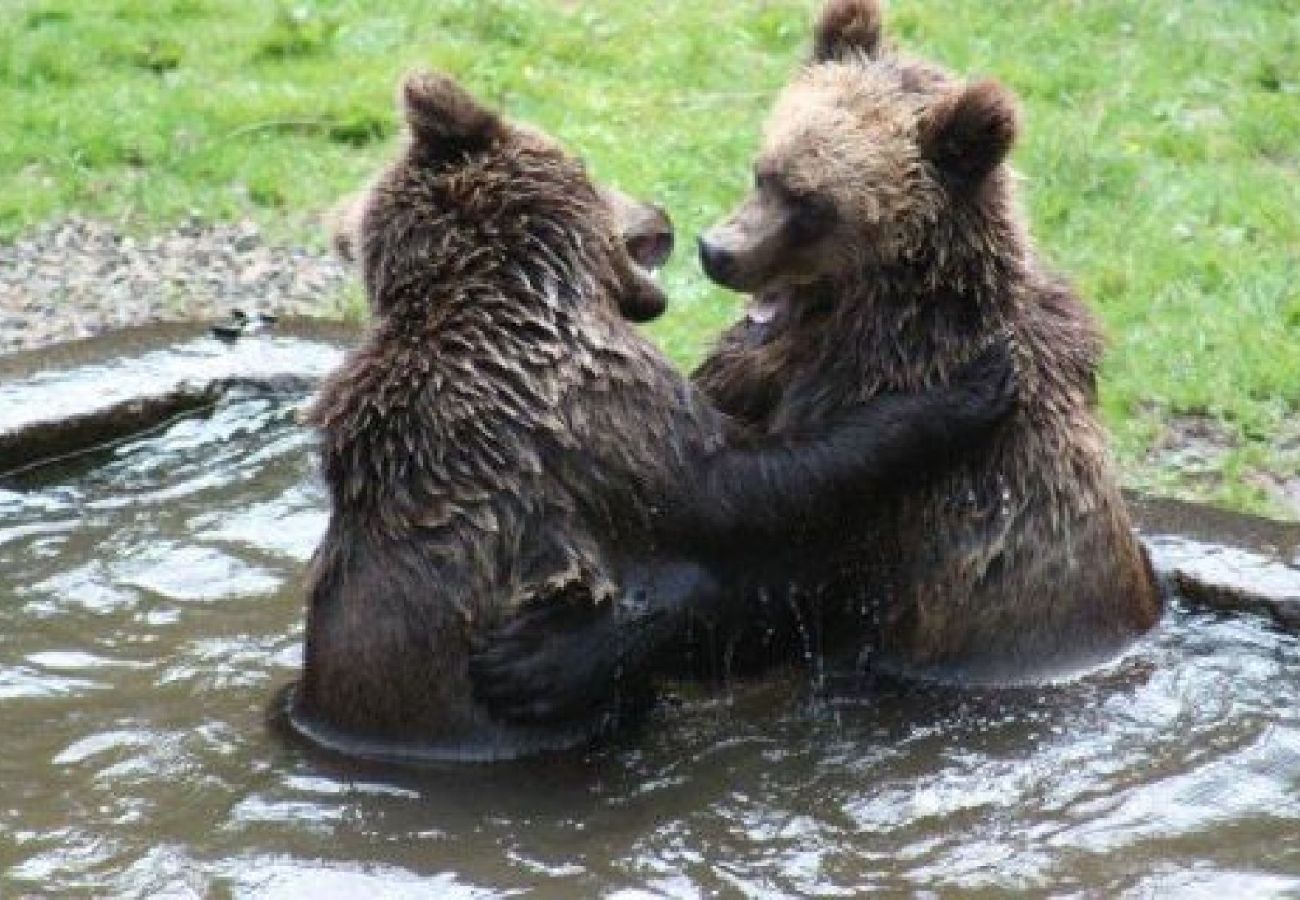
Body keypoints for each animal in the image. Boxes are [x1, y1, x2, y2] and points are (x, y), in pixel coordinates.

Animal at [287, 72, 1013, 759]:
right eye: (587, 163)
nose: (665, 217)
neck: (525, 287)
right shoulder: (591, 397)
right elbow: (737, 488)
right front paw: (962, 390)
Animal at [473, 0, 1164, 712]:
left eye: (812, 205)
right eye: (763, 170)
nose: (716, 251)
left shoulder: (918, 489)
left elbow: (767, 565)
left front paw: (543, 654)